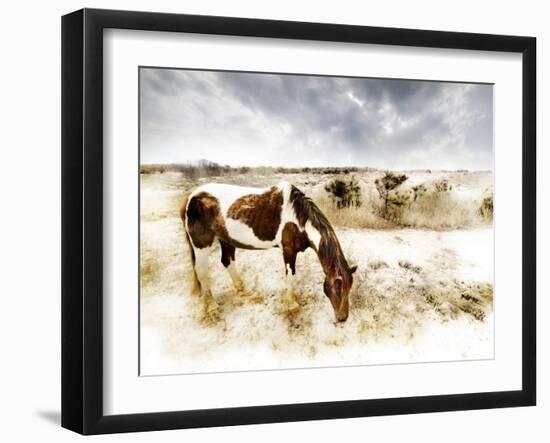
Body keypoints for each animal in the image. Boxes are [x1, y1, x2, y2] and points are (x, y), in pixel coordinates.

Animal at [181, 181, 358, 322]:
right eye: (337, 288)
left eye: (349, 289)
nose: (343, 318)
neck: (297, 218)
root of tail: (191, 197)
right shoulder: (288, 251)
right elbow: (290, 276)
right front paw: (292, 305)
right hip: (201, 245)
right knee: (202, 272)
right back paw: (212, 307)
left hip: (226, 239)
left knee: (227, 261)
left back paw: (242, 290)